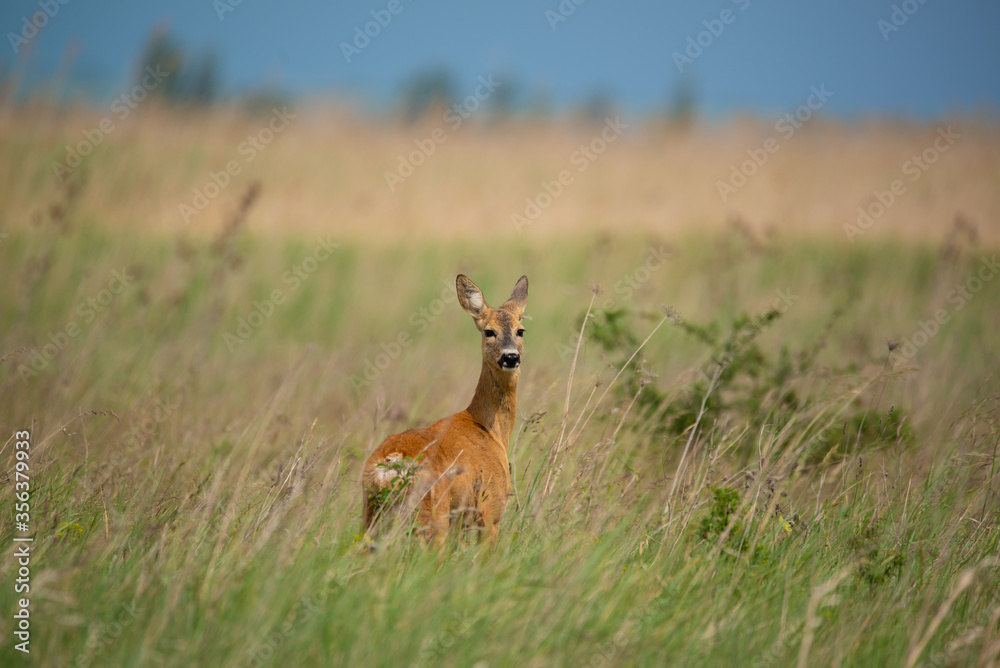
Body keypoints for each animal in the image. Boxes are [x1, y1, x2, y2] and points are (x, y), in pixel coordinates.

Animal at [361, 274, 528, 547]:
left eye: (520, 330)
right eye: (489, 331)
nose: (511, 357)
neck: (490, 430)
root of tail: (389, 467)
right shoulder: (491, 509)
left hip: (370, 513)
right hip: (432, 515)